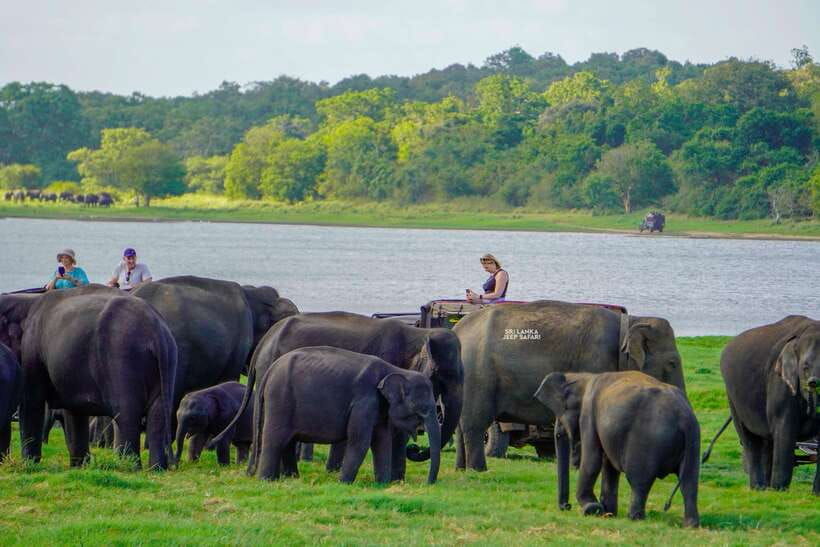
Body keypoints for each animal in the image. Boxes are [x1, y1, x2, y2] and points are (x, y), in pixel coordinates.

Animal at [0, 285, 177, 469]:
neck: (27, 300)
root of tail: (156, 332)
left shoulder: (32, 346)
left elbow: (32, 401)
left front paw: (29, 464)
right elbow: (74, 412)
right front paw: (79, 467)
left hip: (122, 357)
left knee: (126, 413)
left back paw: (130, 467)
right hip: (168, 360)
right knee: (157, 415)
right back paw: (156, 469)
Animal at [253, 346, 441, 484]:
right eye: (421, 410)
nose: (427, 484)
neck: (395, 369)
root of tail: (270, 370)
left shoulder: (380, 408)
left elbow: (382, 442)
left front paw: (382, 484)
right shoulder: (364, 402)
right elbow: (360, 442)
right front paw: (343, 483)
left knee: (288, 442)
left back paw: (292, 478)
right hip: (280, 400)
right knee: (275, 439)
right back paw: (266, 481)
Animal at [453, 300, 686, 472]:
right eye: (672, 363)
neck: (630, 322)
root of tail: (457, 328)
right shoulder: (596, 361)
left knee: (461, 425)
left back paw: (461, 469)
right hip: (478, 375)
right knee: (476, 422)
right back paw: (478, 470)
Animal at [534, 371, 700, 527]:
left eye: (560, 416)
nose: (567, 506)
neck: (584, 376)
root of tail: (683, 417)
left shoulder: (589, 414)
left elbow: (592, 460)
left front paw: (592, 508)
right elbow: (609, 465)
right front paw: (608, 513)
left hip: (647, 441)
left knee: (639, 480)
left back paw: (634, 518)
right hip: (693, 440)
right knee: (689, 482)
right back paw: (691, 525)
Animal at [720, 315, 820, 492]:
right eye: (805, 367)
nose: (813, 383)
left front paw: (816, 494)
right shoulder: (778, 382)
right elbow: (785, 429)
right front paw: (780, 492)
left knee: (767, 442)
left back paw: (765, 488)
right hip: (732, 397)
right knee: (750, 439)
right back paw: (759, 489)